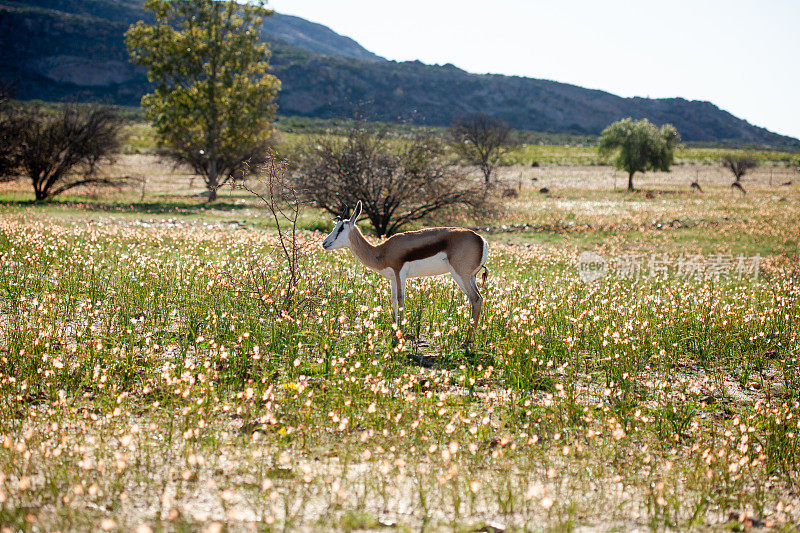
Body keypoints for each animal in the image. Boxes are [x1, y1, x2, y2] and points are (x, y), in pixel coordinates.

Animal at [320, 202, 488, 342]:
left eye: (341, 228)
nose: (324, 243)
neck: (382, 251)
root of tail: (481, 239)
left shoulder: (399, 272)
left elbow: (401, 299)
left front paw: (401, 333)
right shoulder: (393, 278)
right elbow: (394, 300)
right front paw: (394, 332)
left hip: (460, 275)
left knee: (475, 299)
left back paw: (467, 341)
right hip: (471, 277)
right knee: (478, 299)